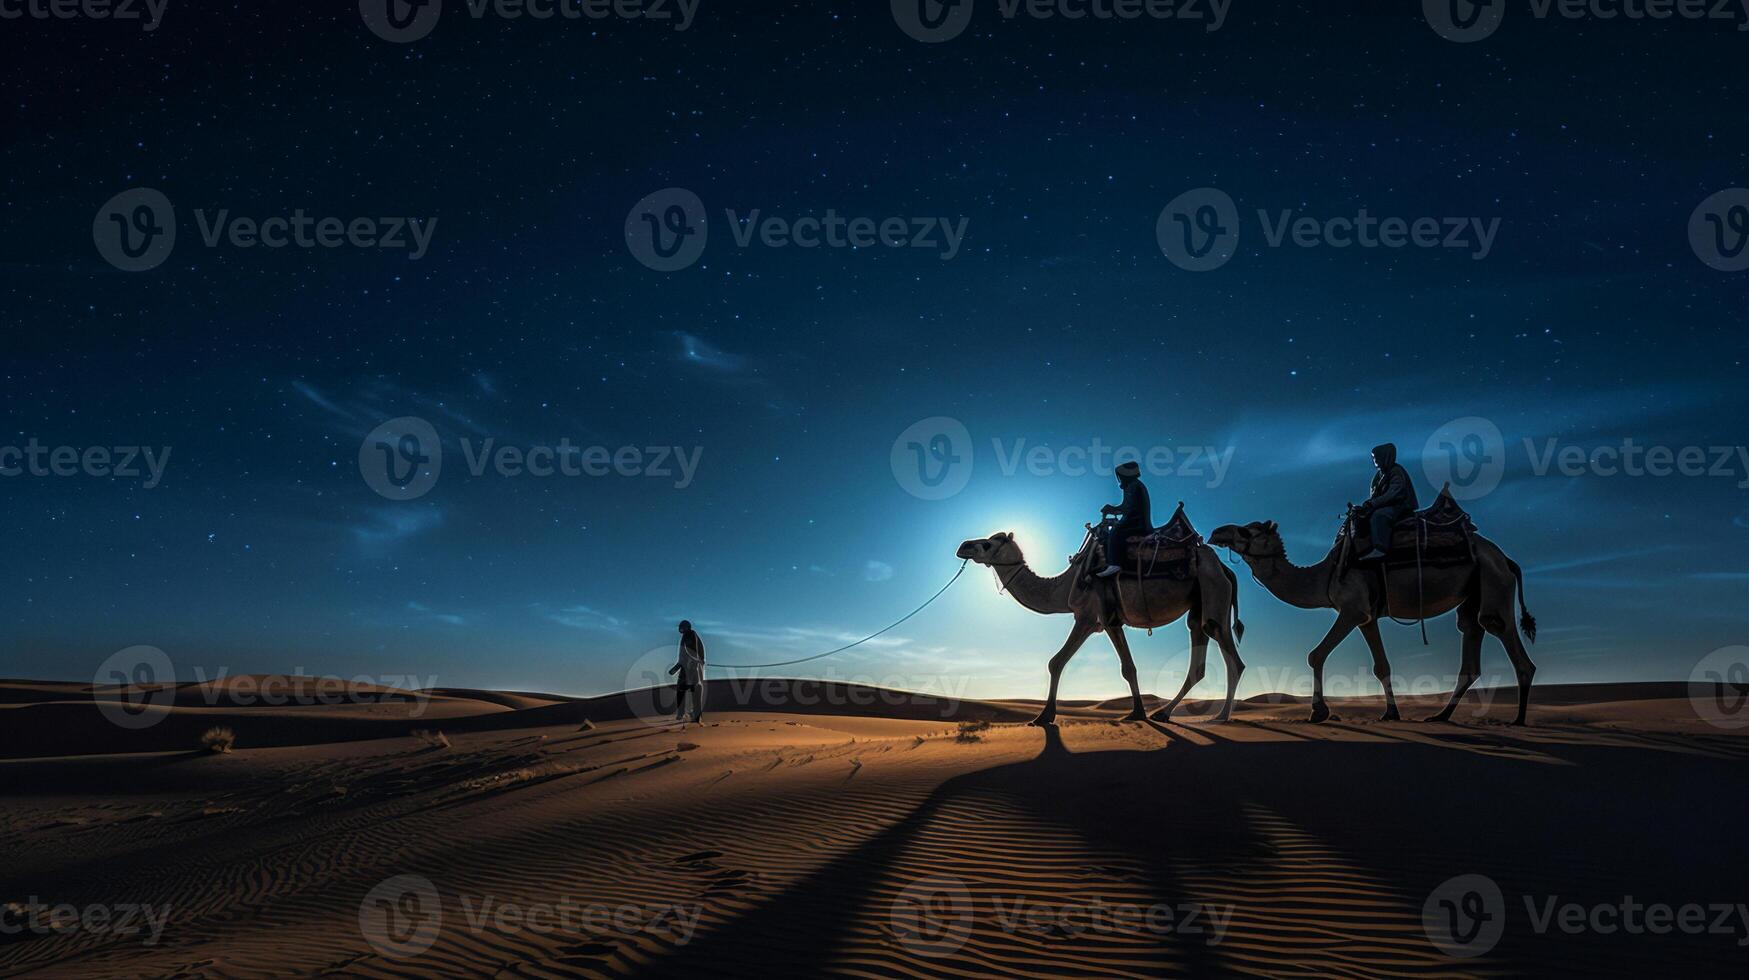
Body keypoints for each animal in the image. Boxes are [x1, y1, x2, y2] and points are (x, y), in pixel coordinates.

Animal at [958, 528, 1245, 728]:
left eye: (989, 543)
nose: (963, 546)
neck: (1065, 585)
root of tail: (1225, 568)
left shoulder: (1091, 617)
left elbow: (1058, 662)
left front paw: (1044, 716)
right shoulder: (1102, 621)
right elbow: (1127, 667)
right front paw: (1138, 712)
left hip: (1213, 592)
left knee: (1232, 657)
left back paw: (1220, 716)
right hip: (1198, 606)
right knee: (1199, 656)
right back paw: (1164, 713)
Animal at [1210, 518, 1539, 724]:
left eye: (1246, 531)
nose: (1217, 532)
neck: (1325, 576)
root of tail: (1506, 559)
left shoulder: (1351, 609)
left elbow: (1315, 655)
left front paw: (1319, 711)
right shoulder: (1367, 616)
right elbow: (1382, 666)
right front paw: (1391, 714)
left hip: (1493, 583)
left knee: (1507, 639)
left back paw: (1518, 720)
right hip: (1473, 597)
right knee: (1471, 640)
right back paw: (1440, 716)